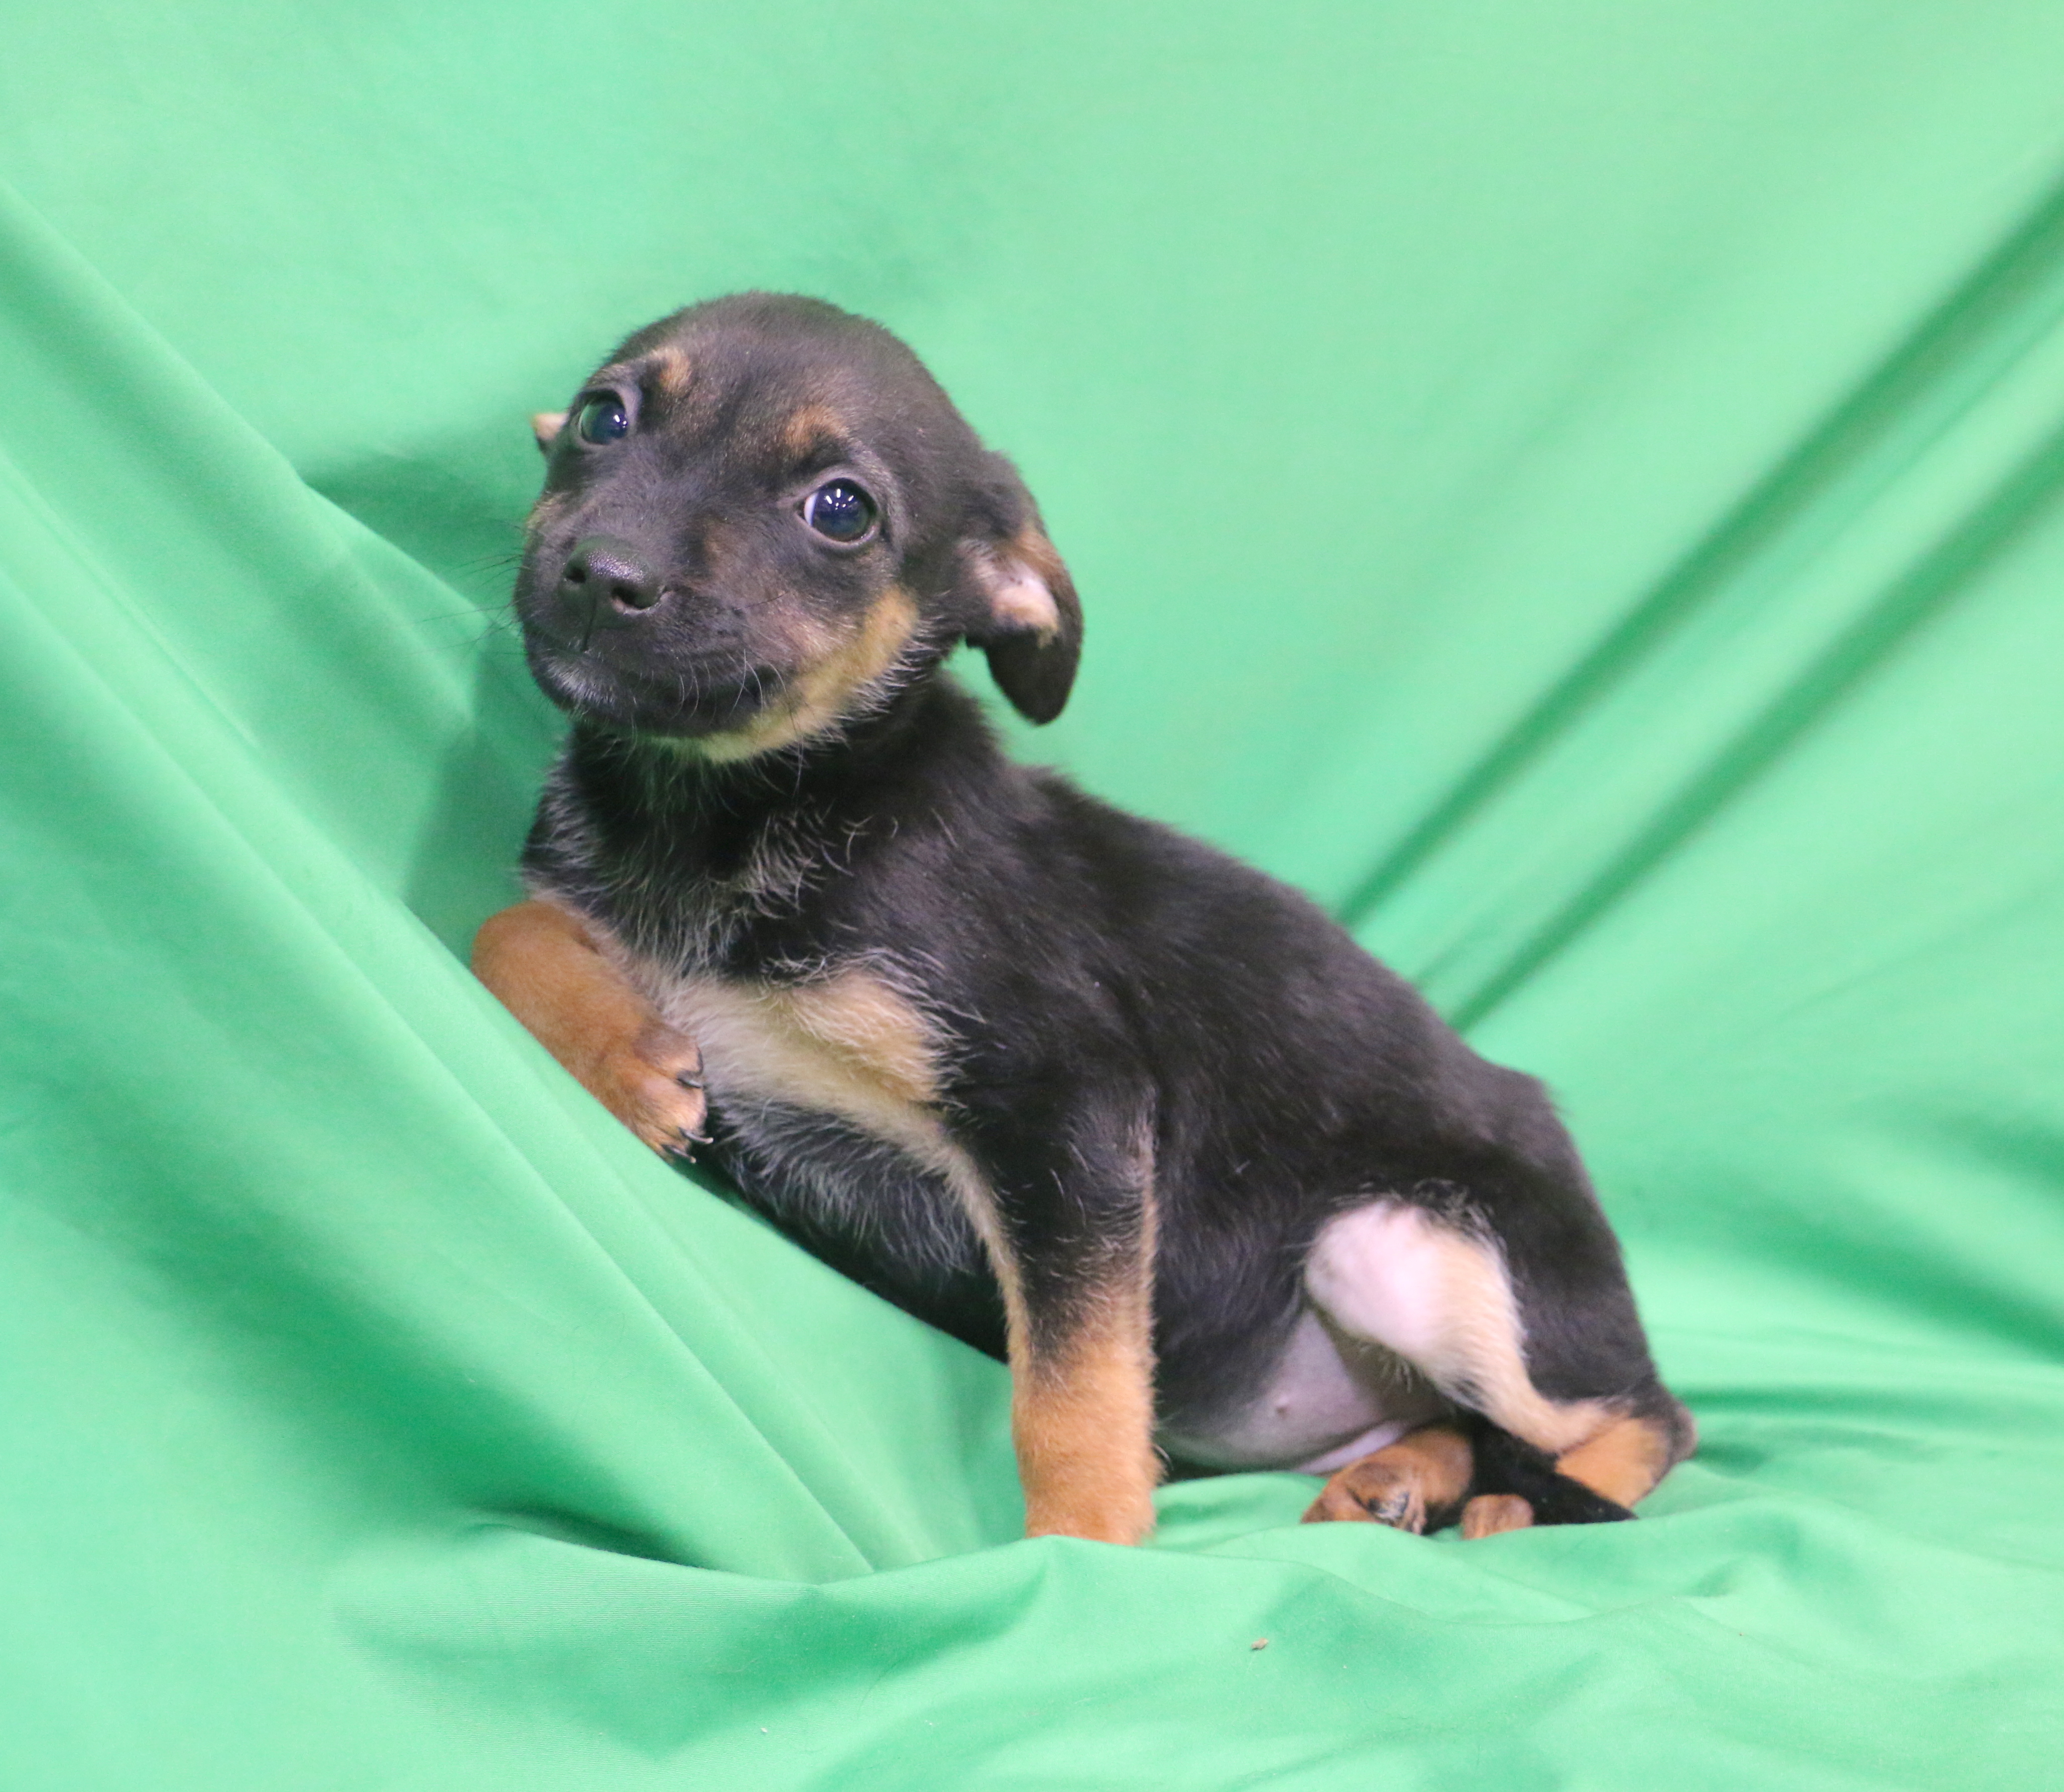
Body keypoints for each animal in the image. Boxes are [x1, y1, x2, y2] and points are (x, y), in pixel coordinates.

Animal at [472, 291, 1692, 1536]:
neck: (718, 812)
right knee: (1473, 1421)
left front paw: (1083, 1545)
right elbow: (499, 929)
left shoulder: (1066, 1110)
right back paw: (1397, 1476)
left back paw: (1526, 1506)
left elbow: (1074, 1386)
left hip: (1404, 1244)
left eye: (841, 511)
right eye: (603, 417)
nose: (601, 573)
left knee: (1648, 1414)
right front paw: (627, 1053)